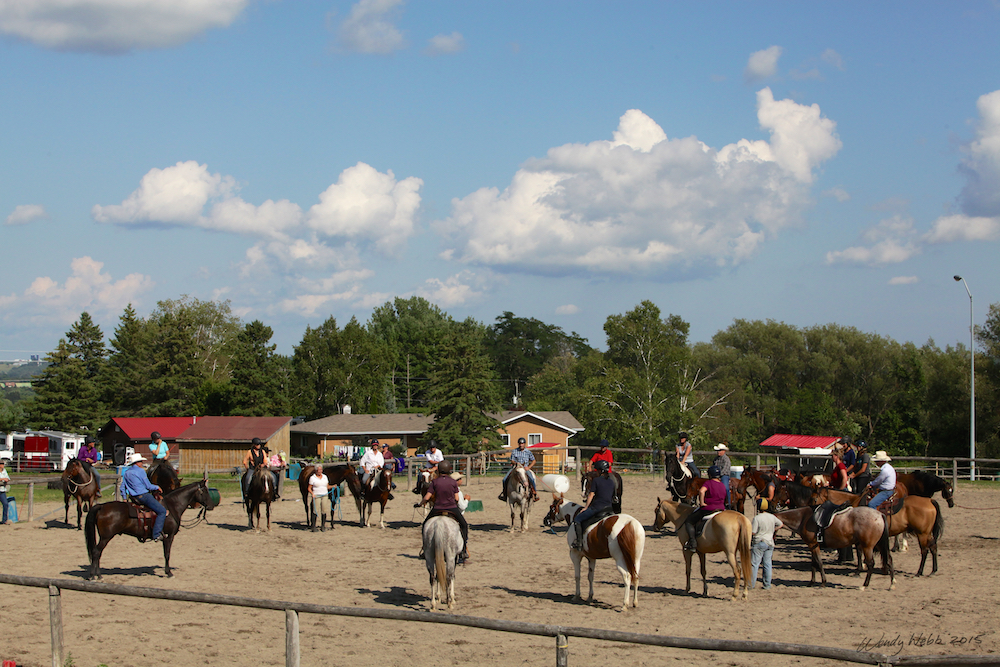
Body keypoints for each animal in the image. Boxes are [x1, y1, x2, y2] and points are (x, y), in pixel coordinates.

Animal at [85, 478, 215, 580]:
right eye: (205, 491)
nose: (211, 506)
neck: (172, 506)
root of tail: (101, 506)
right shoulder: (169, 536)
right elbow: (167, 554)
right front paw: (169, 573)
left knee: (98, 553)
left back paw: (98, 575)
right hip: (106, 537)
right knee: (96, 552)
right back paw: (93, 576)